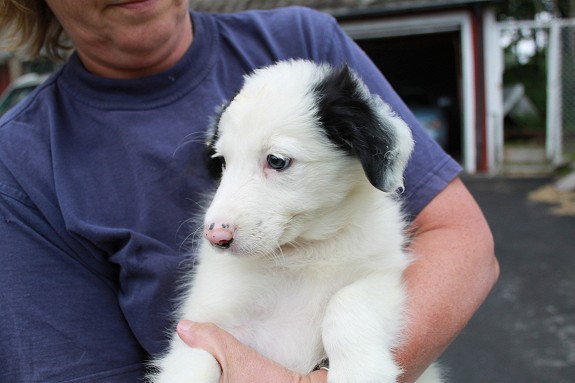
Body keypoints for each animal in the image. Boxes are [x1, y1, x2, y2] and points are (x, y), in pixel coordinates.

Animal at [151, 60, 444, 383]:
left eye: (276, 160)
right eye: (223, 162)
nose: (216, 238)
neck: (305, 250)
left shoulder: (380, 275)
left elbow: (347, 301)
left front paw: (358, 370)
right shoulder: (203, 324)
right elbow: (194, 364)